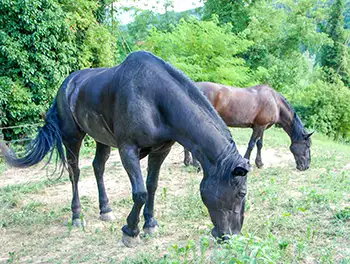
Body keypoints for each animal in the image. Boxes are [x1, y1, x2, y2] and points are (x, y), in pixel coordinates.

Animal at [1, 52, 250, 248]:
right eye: (241, 193)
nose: (230, 236)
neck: (154, 98)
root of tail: (67, 85)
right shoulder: (128, 150)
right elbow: (140, 192)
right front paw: (130, 231)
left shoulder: (160, 151)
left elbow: (152, 186)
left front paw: (150, 224)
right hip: (72, 138)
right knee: (75, 173)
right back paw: (77, 216)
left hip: (101, 139)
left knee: (98, 168)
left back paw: (105, 210)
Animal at [185, 81, 314, 171]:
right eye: (307, 146)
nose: (306, 166)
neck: (275, 103)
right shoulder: (259, 126)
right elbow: (251, 144)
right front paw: (248, 162)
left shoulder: (263, 127)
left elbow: (259, 144)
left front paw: (259, 163)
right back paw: (195, 164)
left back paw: (188, 162)